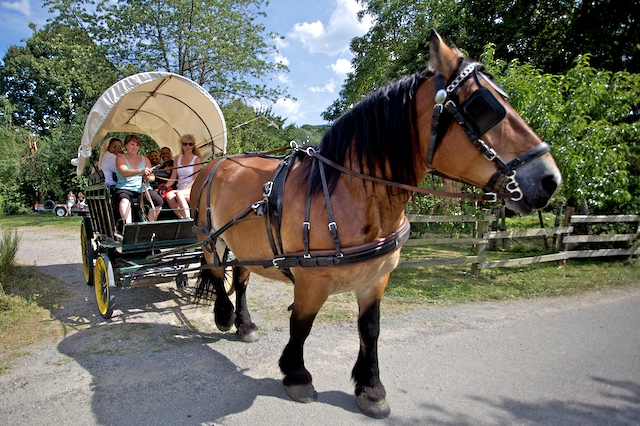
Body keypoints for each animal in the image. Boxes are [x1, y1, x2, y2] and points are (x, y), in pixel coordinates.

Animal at [189, 30, 560, 420]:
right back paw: (224, 316)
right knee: (217, 272)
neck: (349, 194)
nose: (549, 179)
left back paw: (244, 324)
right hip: (209, 238)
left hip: (243, 243)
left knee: (241, 278)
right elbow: (302, 325)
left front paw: (370, 388)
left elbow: (370, 329)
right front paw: (297, 375)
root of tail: (216, 163)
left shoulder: (376, 278)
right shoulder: (310, 281)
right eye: (483, 106)